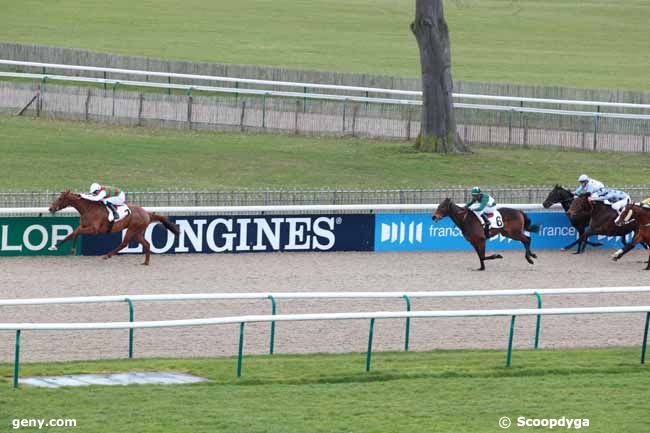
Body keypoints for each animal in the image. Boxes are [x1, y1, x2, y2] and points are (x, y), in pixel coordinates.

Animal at [47, 191, 180, 264]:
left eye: (60, 198)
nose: (50, 208)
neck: (88, 208)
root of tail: (147, 213)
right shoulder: (83, 225)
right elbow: (72, 234)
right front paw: (55, 246)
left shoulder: (94, 229)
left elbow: (77, 232)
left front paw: (71, 249)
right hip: (137, 232)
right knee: (146, 244)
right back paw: (146, 262)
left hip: (132, 229)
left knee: (124, 243)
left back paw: (107, 255)